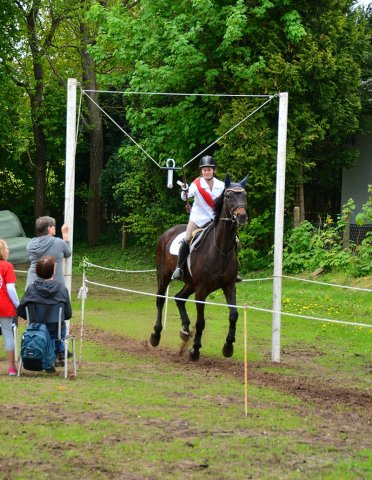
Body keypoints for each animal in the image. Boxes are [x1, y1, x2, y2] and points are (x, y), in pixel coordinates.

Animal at [148, 175, 247, 360]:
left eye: (245, 195)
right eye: (228, 196)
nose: (242, 216)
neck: (220, 249)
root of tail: (165, 234)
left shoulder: (229, 285)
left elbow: (234, 315)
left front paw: (228, 346)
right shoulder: (201, 290)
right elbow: (201, 322)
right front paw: (195, 349)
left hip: (190, 283)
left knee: (179, 298)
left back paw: (185, 330)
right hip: (164, 276)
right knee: (160, 300)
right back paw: (156, 335)